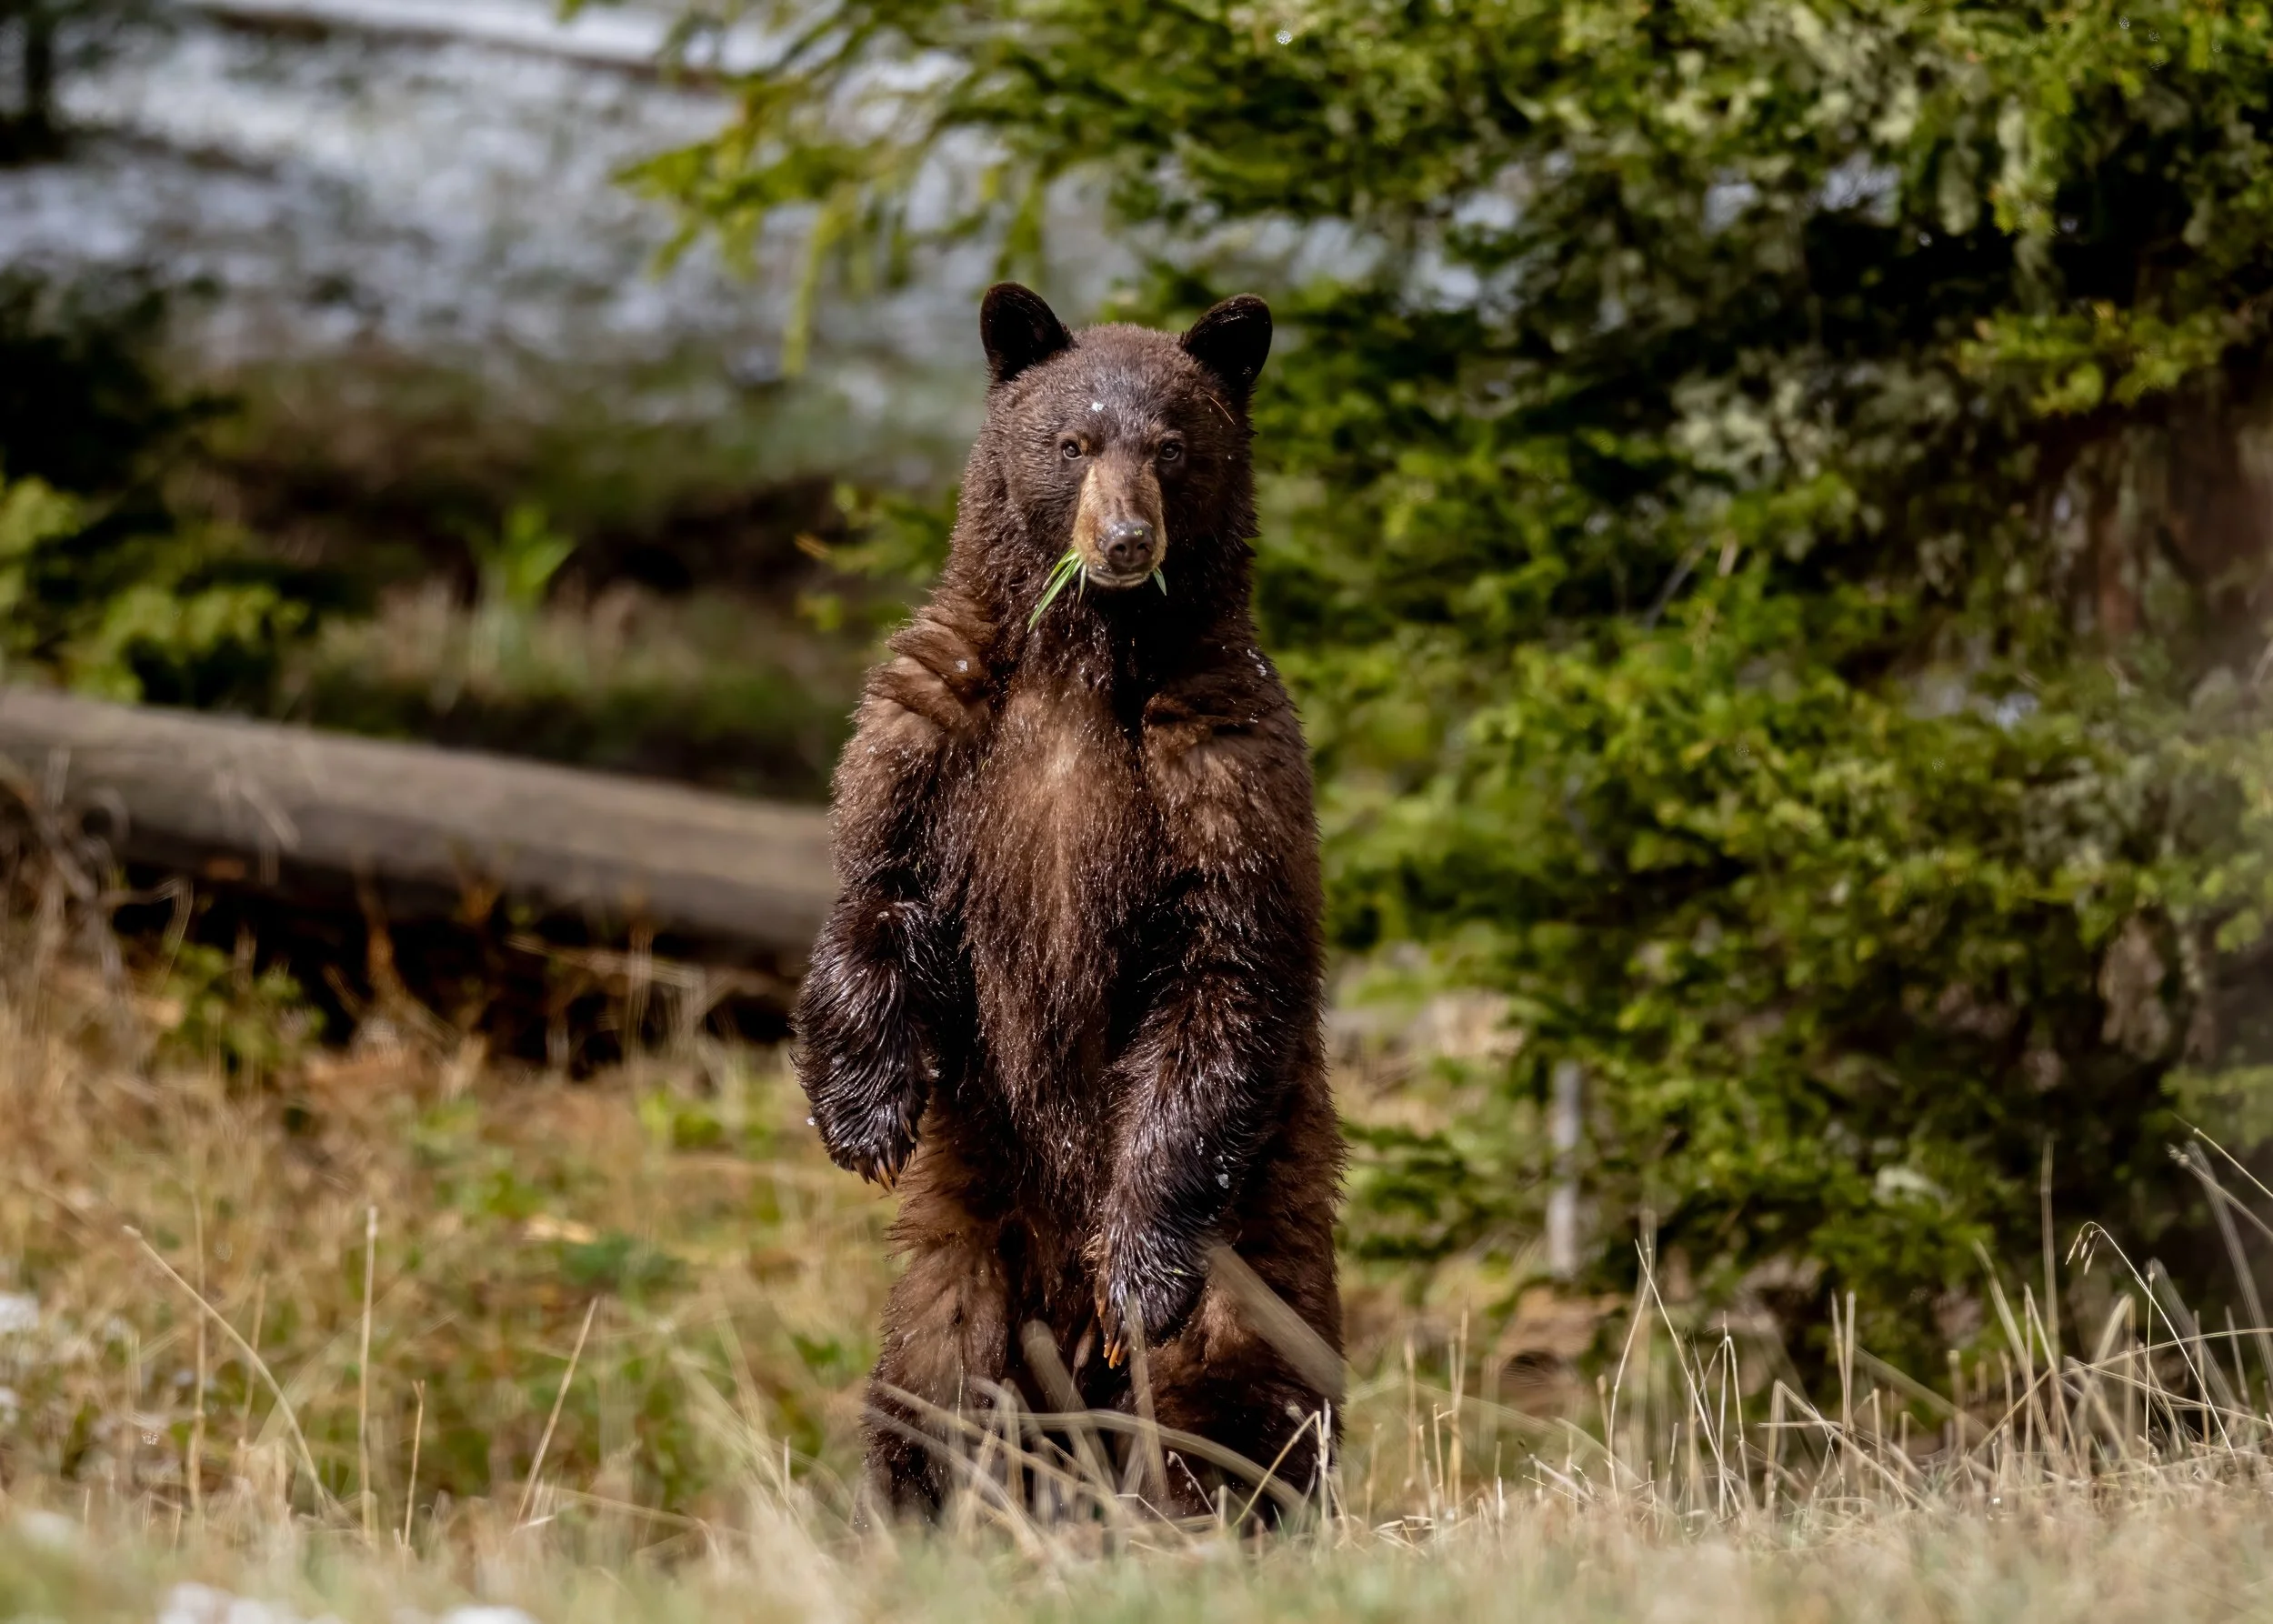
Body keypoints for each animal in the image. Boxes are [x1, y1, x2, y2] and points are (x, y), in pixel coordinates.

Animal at [794, 282, 1344, 1520]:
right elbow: (873, 888)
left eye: (1175, 446)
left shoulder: (1222, 764)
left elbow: (1225, 972)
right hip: (962, 1268)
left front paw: (1135, 1263)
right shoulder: (934, 726)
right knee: (933, 1404)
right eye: (1073, 442)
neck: (1080, 667)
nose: (1127, 540)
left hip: (1255, 1254)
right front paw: (861, 1110)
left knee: (1233, 1415)